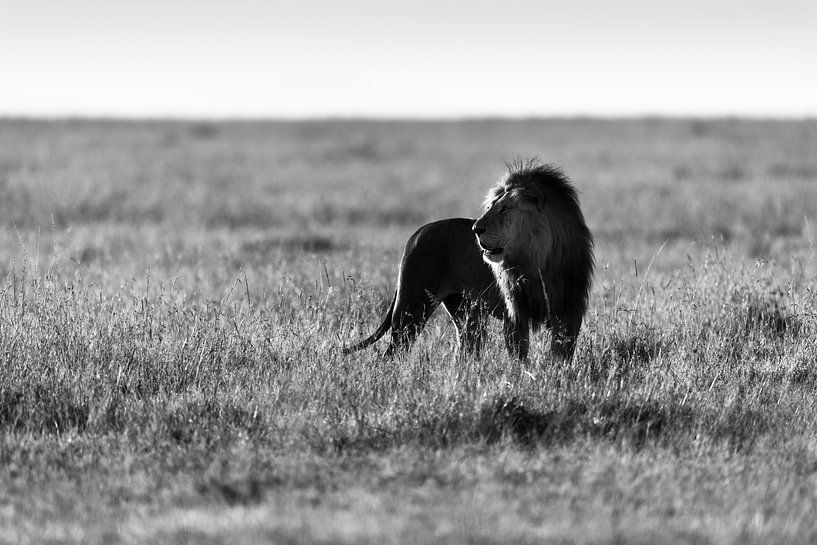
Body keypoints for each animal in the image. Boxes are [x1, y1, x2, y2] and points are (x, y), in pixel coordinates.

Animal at [344, 160, 594, 361]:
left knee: (466, 349)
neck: (537, 262)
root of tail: (419, 232)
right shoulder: (514, 315)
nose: (476, 228)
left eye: (505, 209)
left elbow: (561, 357)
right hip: (412, 307)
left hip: (468, 314)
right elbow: (519, 357)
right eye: (490, 206)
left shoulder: (569, 313)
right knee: (393, 352)